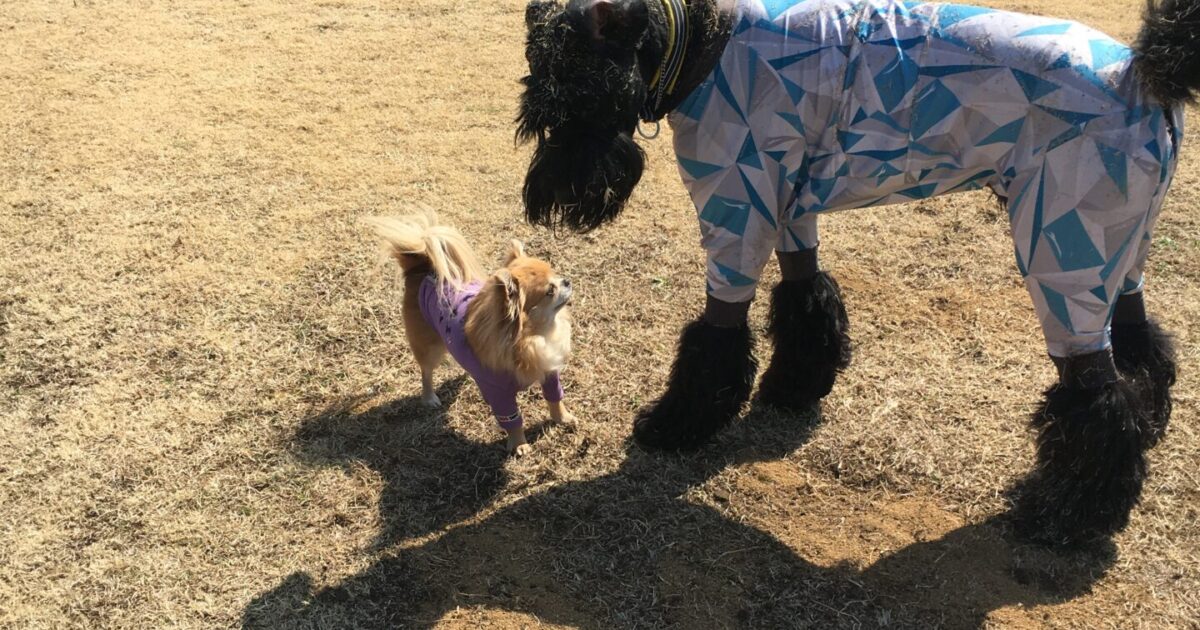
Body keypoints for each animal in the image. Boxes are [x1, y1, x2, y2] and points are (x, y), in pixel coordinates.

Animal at [367, 211, 575, 455]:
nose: (567, 281)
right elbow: (513, 420)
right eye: (550, 291)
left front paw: (563, 418)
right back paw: (429, 397)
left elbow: (555, 399)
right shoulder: (500, 394)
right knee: (426, 371)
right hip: (428, 347)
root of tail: (423, 269)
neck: (534, 336)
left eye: (556, 274)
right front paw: (520, 444)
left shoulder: (550, 371)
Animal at [516, 0, 1198, 544]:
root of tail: (1148, 78)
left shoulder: (737, 214)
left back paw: (1066, 517)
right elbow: (805, 298)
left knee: (1100, 402)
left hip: (1065, 255)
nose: (546, 197)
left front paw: (675, 424)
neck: (704, 43)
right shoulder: (789, 211)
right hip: (1119, 259)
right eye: (539, 105)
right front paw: (794, 387)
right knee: (1142, 354)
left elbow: (715, 339)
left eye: (577, 95)